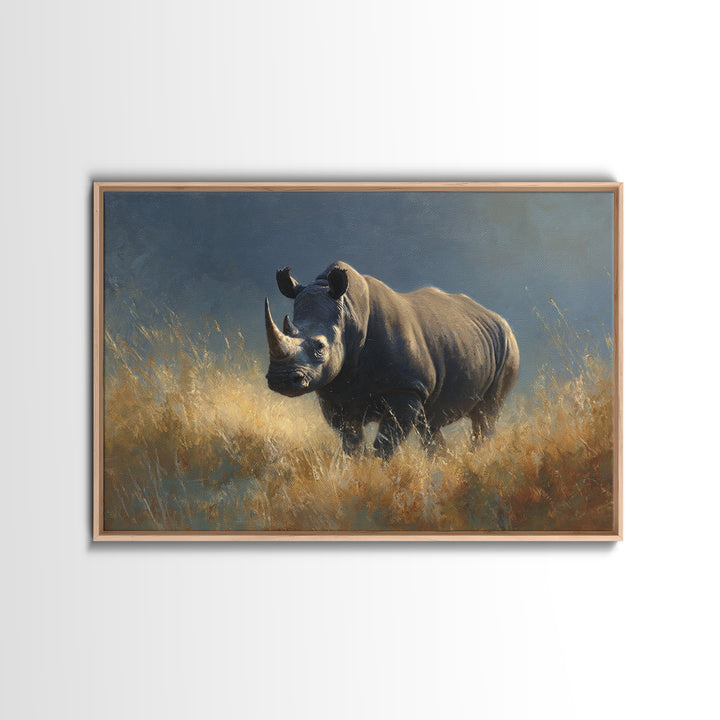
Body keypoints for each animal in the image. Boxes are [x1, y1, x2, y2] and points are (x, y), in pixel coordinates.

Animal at [264, 261, 519, 459]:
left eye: (320, 347)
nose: (280, 379)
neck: (349, 315)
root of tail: (497, 317)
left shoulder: (407, 388)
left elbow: (385, 443)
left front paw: (378, 474)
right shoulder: (334, 394)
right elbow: (351, 442)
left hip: (508, 347)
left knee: (486, 415)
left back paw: (476, 459)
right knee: (429, 424)